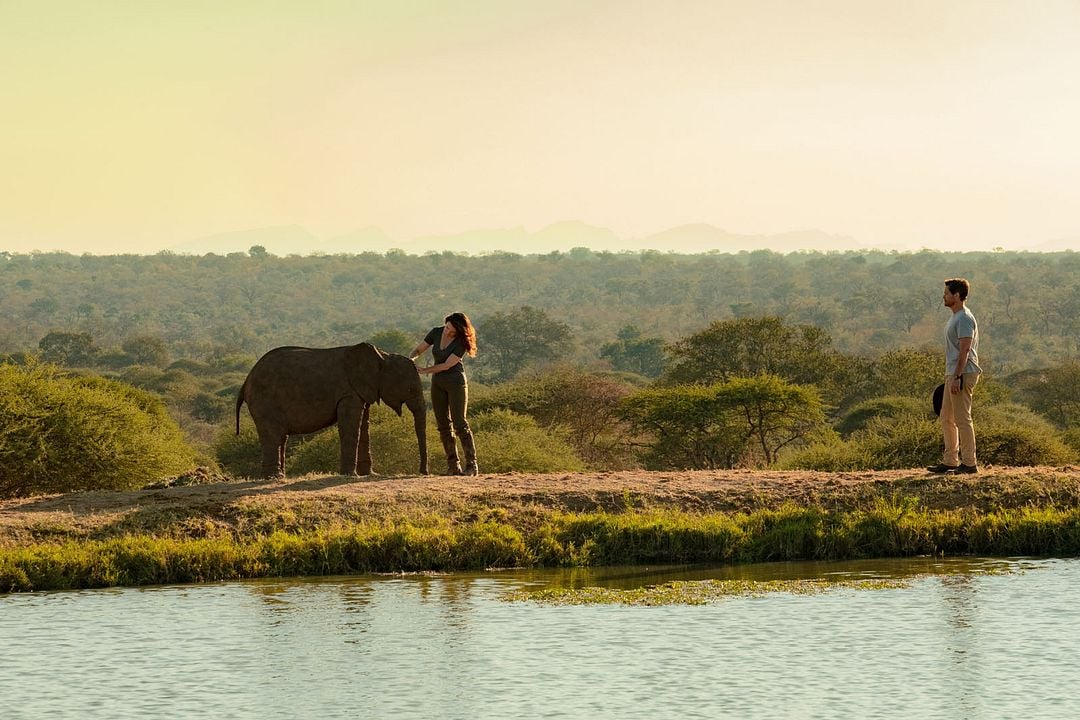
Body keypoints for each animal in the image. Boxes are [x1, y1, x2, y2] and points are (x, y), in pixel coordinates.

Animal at [234, 343, 427, 479]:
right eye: (410, 389)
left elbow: (363, 424)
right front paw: (351, 476)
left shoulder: (361, 390)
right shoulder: (348, 393)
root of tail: (246, 382)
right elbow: (351, 425)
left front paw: (370, 474)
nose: (423, 473)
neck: (382, 356)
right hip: (264, 400)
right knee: (273, 434)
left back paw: (279, 476)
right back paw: (274, 477)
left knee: (281, 437)